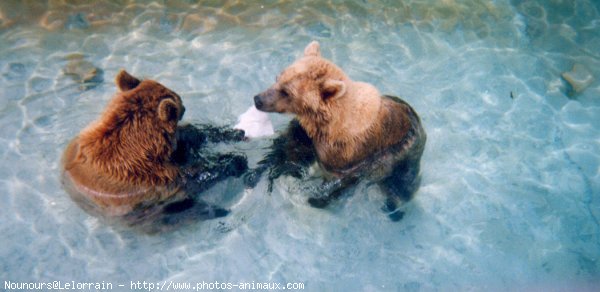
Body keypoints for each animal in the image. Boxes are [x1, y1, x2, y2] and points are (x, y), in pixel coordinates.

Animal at [62, 69, 246, 227]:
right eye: (179, 102)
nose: (184, 106)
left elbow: (192, 136)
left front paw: (232, 134)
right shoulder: (150, 181)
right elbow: (195, 179)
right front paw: (234, 161)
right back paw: (218, 210)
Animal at [250, 40, 426, 219]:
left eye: (286, 92)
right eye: (277, 78)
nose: (258, 99)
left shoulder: (348, 156)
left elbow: (337, 185)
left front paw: (312, 199)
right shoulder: (305, 135)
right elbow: (286, 150)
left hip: (405, 157)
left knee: (401, 185)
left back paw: (393, 208)